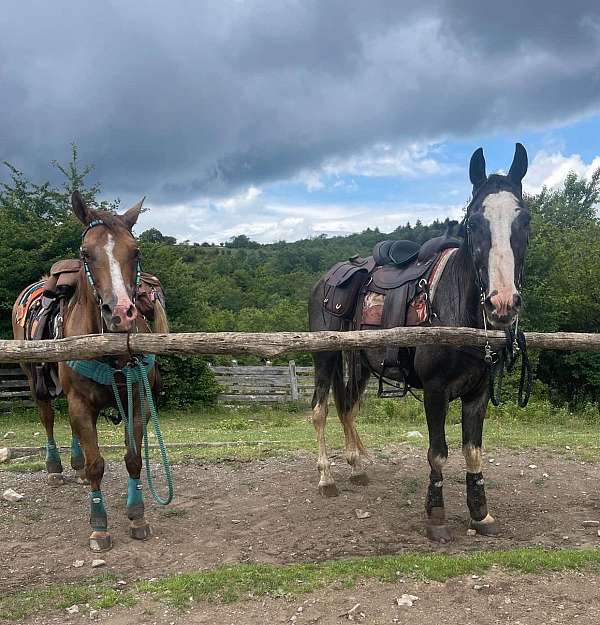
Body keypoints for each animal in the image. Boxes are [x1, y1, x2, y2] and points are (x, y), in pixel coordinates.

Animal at [12, 191, 168, 552]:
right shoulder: (80, 403)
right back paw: (56, 468)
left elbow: (133, 458)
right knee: (48, 418)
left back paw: (77, 465)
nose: (122, 313)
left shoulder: (138, 400)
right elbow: (98, 464)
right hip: (35, 379)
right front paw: (99, 526)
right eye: (86, 253)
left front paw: (137, 516)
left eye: (136, 250)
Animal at [310, 144, 528, 540]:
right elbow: (437, 452)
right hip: (326, 355)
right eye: (474, 223)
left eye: (526, 221)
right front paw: (436, 516)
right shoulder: (435, 391)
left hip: (360, 362)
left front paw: (480, 513)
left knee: (348, 408)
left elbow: (473, 451)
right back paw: (326, 478)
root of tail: (327, 279)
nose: (503, 303)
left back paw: (357, 468)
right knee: (320, 410)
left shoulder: (478, 392)